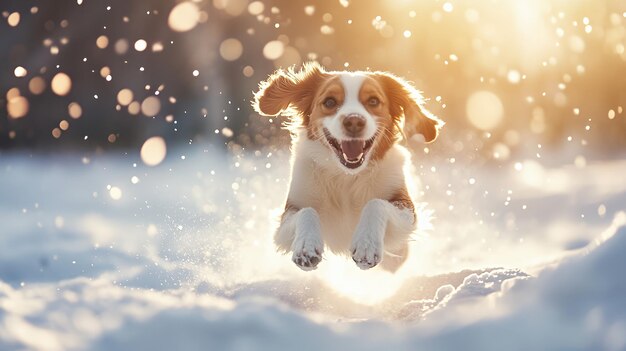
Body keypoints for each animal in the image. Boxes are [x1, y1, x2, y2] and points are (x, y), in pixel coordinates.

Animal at [251, 62, 442, 274]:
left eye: (373, 101)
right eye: (329, 102)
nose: (354, 121)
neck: (346, 177)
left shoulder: (405, 207)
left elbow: (376, 203)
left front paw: (367, 246)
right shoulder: (289, 213)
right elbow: (307, 211)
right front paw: (306, 247)